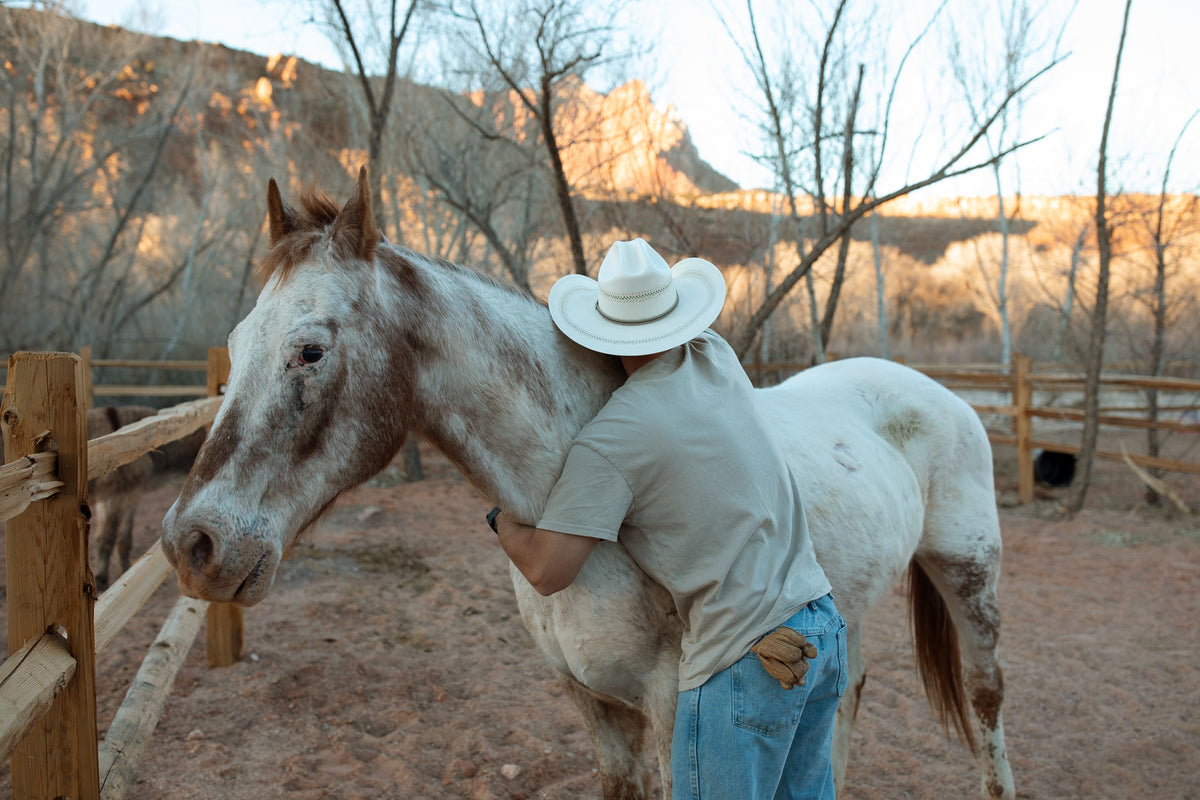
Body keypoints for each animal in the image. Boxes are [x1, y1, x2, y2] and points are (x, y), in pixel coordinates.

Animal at [87, 405, 205, 590]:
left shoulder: (131, 497)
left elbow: (123, 540)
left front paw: (124, 572)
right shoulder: (113, 498)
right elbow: (105, 540)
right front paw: (101, 581)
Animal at [161, 169, 1015, 799]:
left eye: (309, 350)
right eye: (239, 340)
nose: (193, 543)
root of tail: (932, 390)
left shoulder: (671, 710)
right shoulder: (594, 706)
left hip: (969, 579)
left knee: (986, 700)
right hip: (853, 603)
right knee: (849, 697)